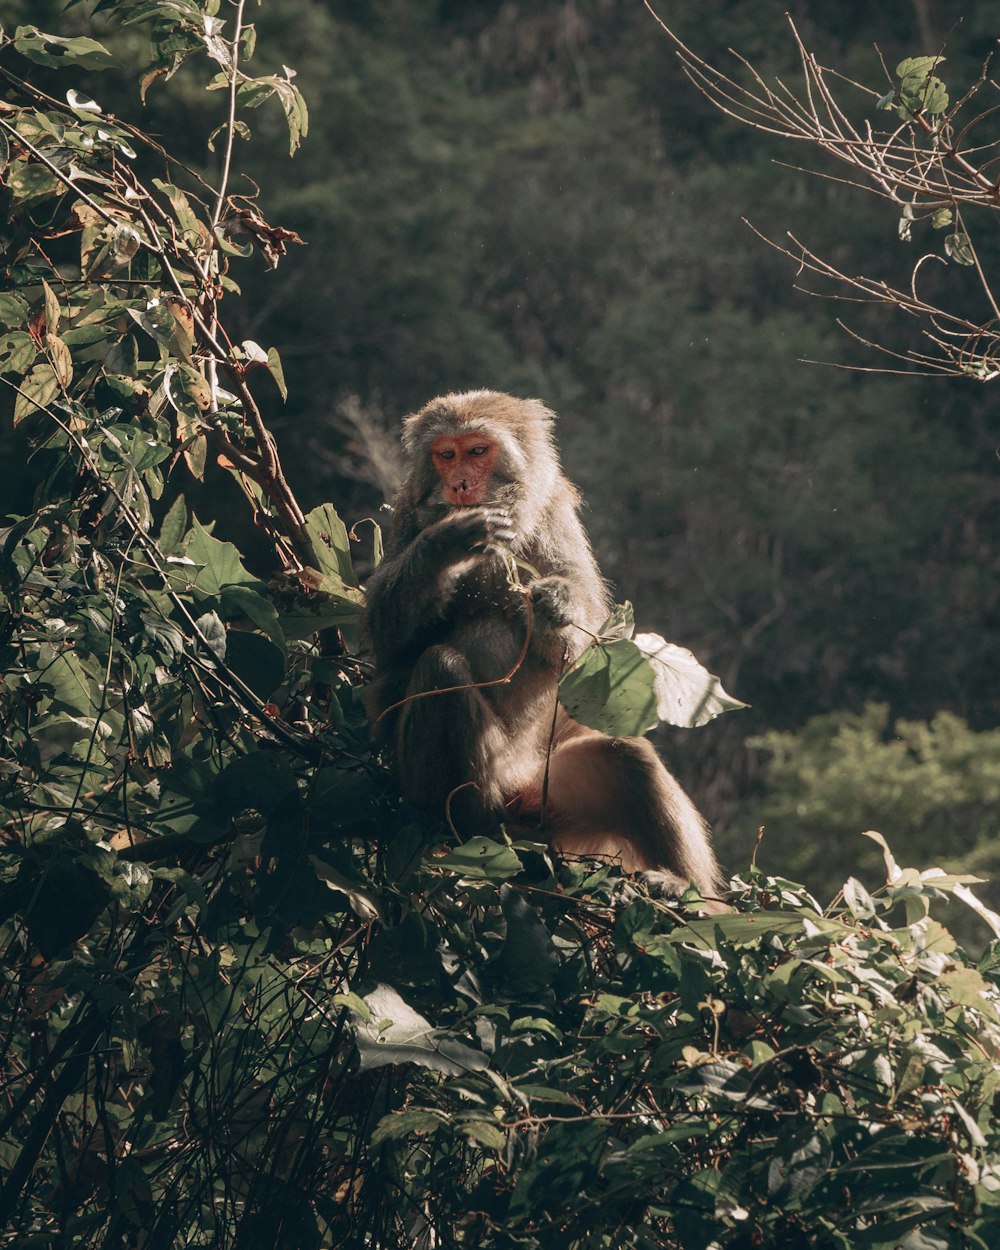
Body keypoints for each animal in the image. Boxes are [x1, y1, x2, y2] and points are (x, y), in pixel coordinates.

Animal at [362, 385, 725, 905]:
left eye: (478, 451)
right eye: (446, 455)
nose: (460, 485)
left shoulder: (554, 512)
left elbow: (587, 640)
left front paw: (557, 603)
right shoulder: (409, 514)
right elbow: (387, 643)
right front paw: (448, 542)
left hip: (552, 797)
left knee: (627, 757)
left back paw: (689, 889)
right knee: (440, 668)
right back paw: (462, 824)